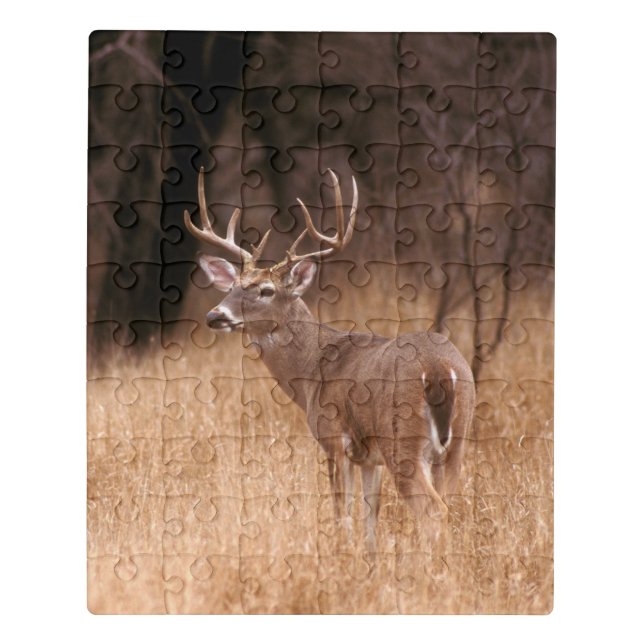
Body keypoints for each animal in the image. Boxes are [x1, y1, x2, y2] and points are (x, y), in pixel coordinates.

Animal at [184, 168, 476, 550]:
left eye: (266, 290)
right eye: (233, 286)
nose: (215, 315)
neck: (312, 370)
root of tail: (440, 368)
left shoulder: (333, 437)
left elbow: (343, 513)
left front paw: (342, 554)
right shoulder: (368, 457)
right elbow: (370, 516)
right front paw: (369, 558)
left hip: (403, 441)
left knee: (433, 511)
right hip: (457, 442)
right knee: (449, 506)